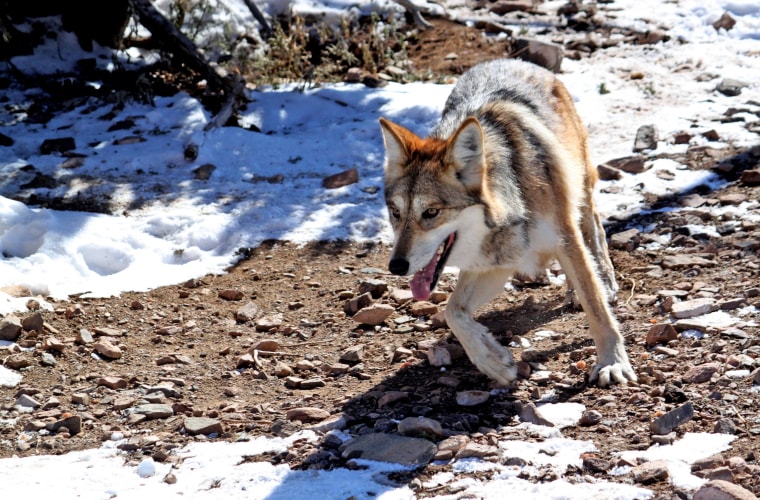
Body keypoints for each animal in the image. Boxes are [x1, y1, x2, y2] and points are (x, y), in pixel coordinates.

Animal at [380, 57, 636, 386]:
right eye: (396, 213)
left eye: (432, 213)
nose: (396, 266)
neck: (515, 198)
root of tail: (512, 60)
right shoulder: (498, 261)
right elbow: (453, 311)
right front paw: (493, 361)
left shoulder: (563, 235)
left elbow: (596, 307)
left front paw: (612, 363)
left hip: (579, 184)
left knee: (593, 227)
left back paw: (604, 278)